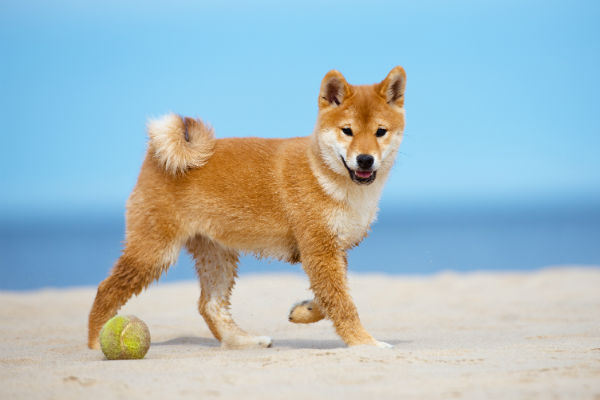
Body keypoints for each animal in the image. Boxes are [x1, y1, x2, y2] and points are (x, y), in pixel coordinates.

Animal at [89, 65, 406, 346]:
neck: (325, 173)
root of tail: (154, 157)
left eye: (380, 132)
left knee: (210, 305)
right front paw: (364, 342)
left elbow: (330, 297)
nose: (365, 160)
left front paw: (304, 310)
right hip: (155, 252)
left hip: (216, 254)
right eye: (347, 131)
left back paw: (243, 341)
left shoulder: (331, 250)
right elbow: (342, 304)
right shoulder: (319, 248)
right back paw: (95, 341)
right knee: (106, 289)